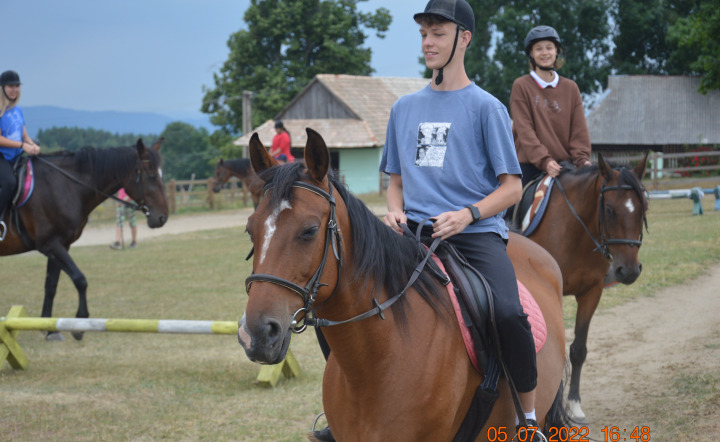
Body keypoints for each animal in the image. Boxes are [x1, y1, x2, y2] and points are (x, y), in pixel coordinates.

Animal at [0, 140, 169, 340]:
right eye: (151, 176)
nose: (162, 218)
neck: (64, 186)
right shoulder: (50, 245)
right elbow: (80, 280)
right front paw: (79, 325)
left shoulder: (60, 245)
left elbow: (51, 285)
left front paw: (50, 330)